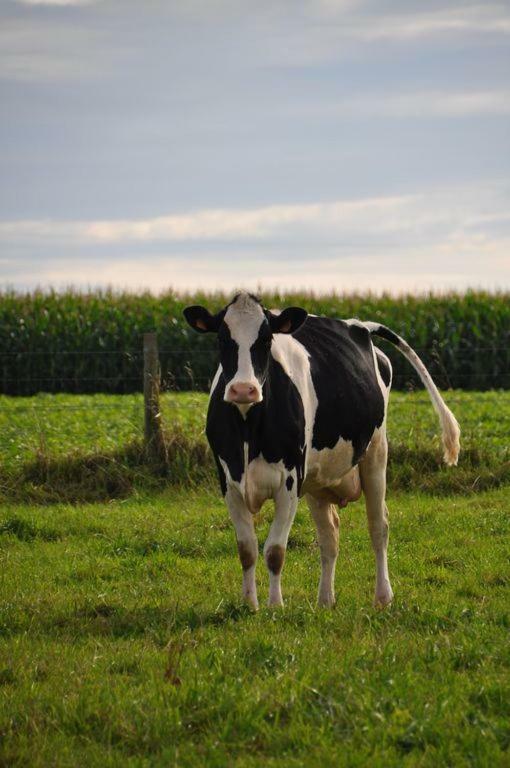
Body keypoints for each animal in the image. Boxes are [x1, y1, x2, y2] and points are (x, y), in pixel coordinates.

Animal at [184, 294, 462, 612]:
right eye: (222, 338)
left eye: (266, 339)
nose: (244, 390)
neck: (247, 428)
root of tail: (359, 326)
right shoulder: (229, 482)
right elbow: (247, 550)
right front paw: (249, 605)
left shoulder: (290, 482)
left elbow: (275, 551)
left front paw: (275, 606)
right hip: (317, 480)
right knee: (330, 536)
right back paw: (325, 600)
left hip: (376, 452)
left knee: (378, 527)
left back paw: (383, 596)